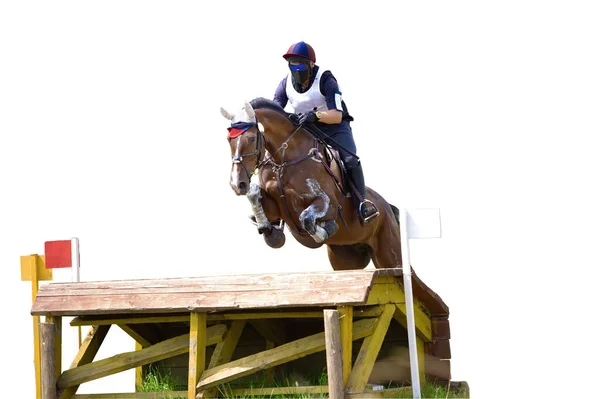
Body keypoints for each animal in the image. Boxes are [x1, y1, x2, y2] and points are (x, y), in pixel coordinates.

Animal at [220, 98, 404, 270]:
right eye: (229, 139)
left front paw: (323, 231)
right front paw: (269, 230)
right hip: (346, 259)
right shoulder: (273, 207)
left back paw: (366, 211)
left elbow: (307, 218)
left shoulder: (328, 203)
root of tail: (388, 207)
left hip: (389, 253)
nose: (237, 184)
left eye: (251, 138)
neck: (285, 159)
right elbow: (256, 198)